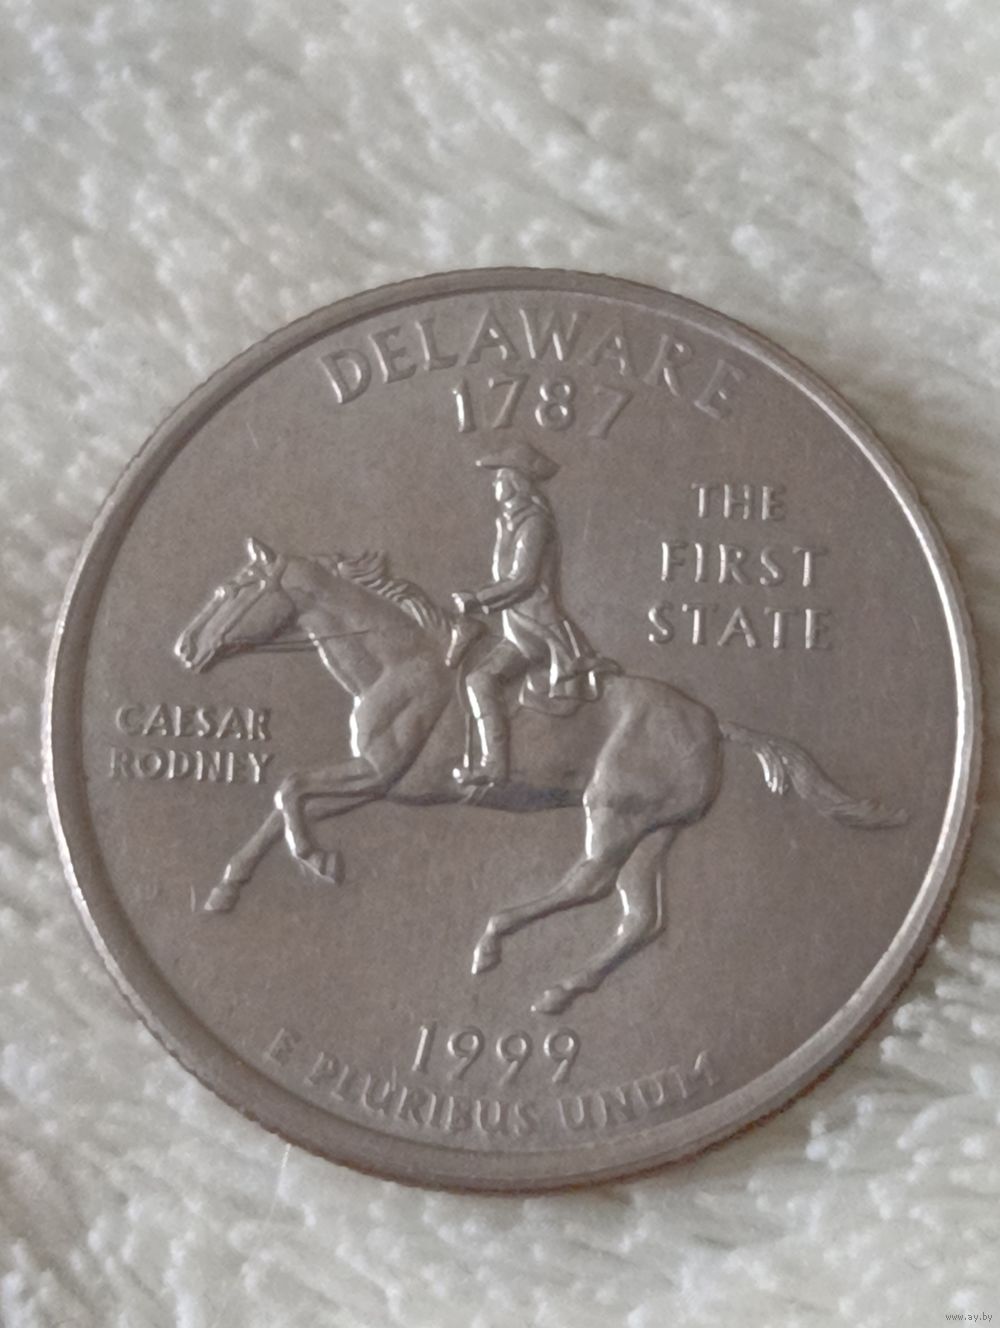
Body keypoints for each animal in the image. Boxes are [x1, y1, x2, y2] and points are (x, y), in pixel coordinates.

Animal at [174, 536, 906, 1015]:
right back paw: (560, 989)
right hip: (657, 830)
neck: (394, 661)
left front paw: (318, 862)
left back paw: (494, 941)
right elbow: (283, 804)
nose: (185, 648)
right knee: (641, 917)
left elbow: (288, 788)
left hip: (615, 812)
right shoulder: (378, 785)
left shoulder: (375, 774)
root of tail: (713, 721)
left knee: (592, 882)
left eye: (233, 589)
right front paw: (230, 888)